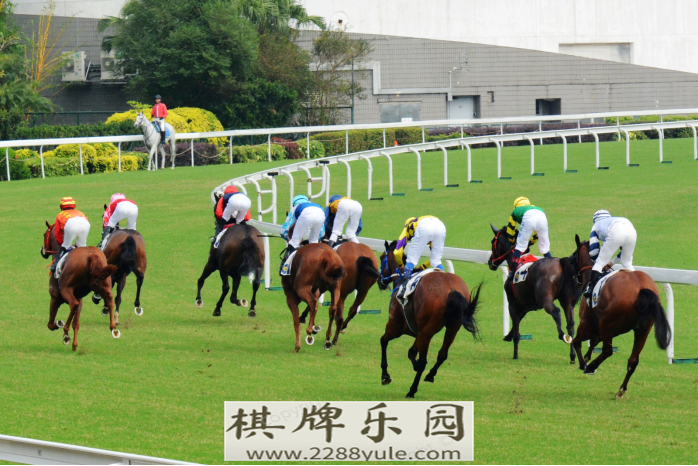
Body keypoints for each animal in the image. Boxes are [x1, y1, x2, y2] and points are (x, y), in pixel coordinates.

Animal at [40, 222, 118, 350]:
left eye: (44, 234)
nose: (42, 251)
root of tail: (91, 255)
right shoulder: (80, 298)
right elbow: (76, 322)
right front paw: (74, 344)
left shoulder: (55, 297)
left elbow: (51, 324)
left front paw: (61, 327)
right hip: (103, 285)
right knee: (110, 299)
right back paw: (113, 327)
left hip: (66, 289)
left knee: (73, 304)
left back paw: (65, 331)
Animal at [378, 240, 482, 396]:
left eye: (380, 258)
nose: (379, 281)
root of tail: (452, 289)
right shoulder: (419, 331)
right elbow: (411, 352)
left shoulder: (395, 326)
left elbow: (383, 341)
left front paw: (385, 376)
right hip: (451, 328)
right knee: (442, 354)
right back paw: (430, 375)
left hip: (426, 330)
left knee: (423, 361)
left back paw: (412, 390)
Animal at [484, 224, 580, 362]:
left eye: (493, 242)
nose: (490, 261)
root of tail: (561, 263)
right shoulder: (526, 306)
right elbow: (516, 324)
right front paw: (507, 336)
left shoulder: (513, 304)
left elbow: (517, 331)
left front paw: (515, 355)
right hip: (567, 300)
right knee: (571, 324)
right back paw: (572, 355)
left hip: (545, 299)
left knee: (556, 312)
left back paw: (562, 335)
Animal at [568, 235, 672, 398]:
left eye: (573, 257)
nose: (575, 278)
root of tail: (641, 288)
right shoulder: (604, 328)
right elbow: (593, 341)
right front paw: (586, 358)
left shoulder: (587, 325)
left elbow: (577, 341)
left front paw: (583, 363)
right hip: (642, 330)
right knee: (633, 360)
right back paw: (621, 389)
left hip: (608, 324)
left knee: (608, 351)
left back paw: (591, 367)